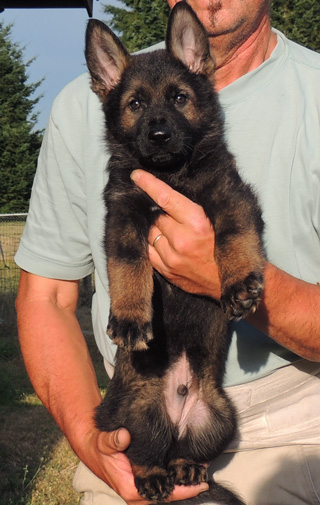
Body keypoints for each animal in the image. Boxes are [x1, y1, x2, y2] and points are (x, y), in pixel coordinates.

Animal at [85, 2, 264, 500]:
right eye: (136, 105)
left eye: (180, 98)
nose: (160, 135)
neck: (172, 175)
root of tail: (181, 403)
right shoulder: (123, 219)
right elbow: (129, 267)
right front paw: (130, 318)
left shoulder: (230, 197)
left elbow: (234, 236)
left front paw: (239, 283)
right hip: (140, 413)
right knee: (142, 452)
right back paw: (151, 476)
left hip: (219, 417)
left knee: (187, 448)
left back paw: (185, 467)